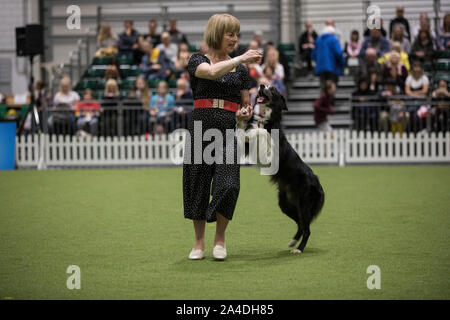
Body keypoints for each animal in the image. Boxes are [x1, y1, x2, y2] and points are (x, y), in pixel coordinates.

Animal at [237, 85, 326, 255]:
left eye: (272, 89)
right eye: (265, 86)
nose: (261, 85)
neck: (265, 117)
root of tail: (318, 183)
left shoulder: (270, 156)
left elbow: (262, 132)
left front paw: (256, 129)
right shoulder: (247, 145)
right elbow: (244, 132)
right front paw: (241, 117)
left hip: (304, 203)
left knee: (307, 229)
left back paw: (299, 249)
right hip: (285, 204)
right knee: (301, 223)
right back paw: (293, 241)